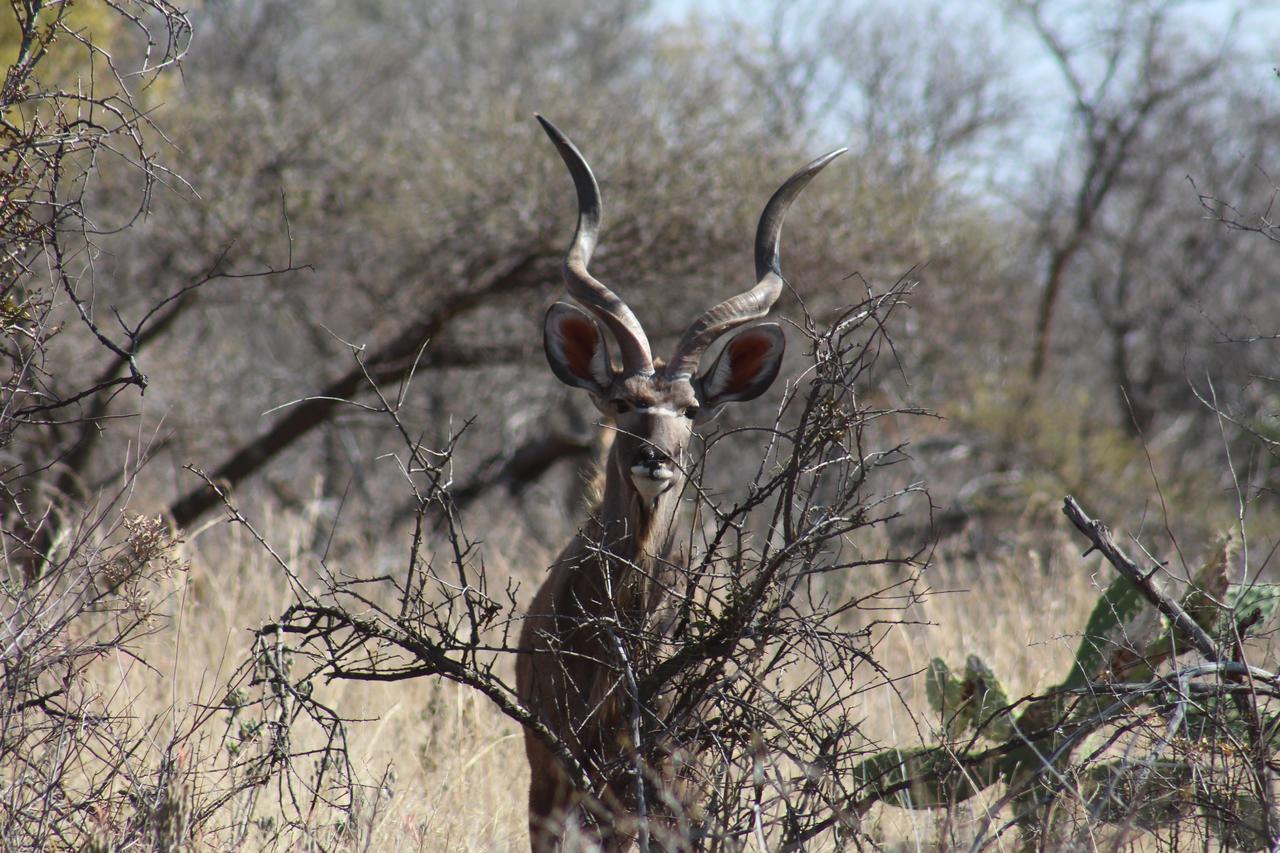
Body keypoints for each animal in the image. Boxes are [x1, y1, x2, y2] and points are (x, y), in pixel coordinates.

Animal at [514, 114, 844, 850]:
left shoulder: (662, 780)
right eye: (622, 400)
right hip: (551, 785)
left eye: (691, 409)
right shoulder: (567, 767)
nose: (654, 460)